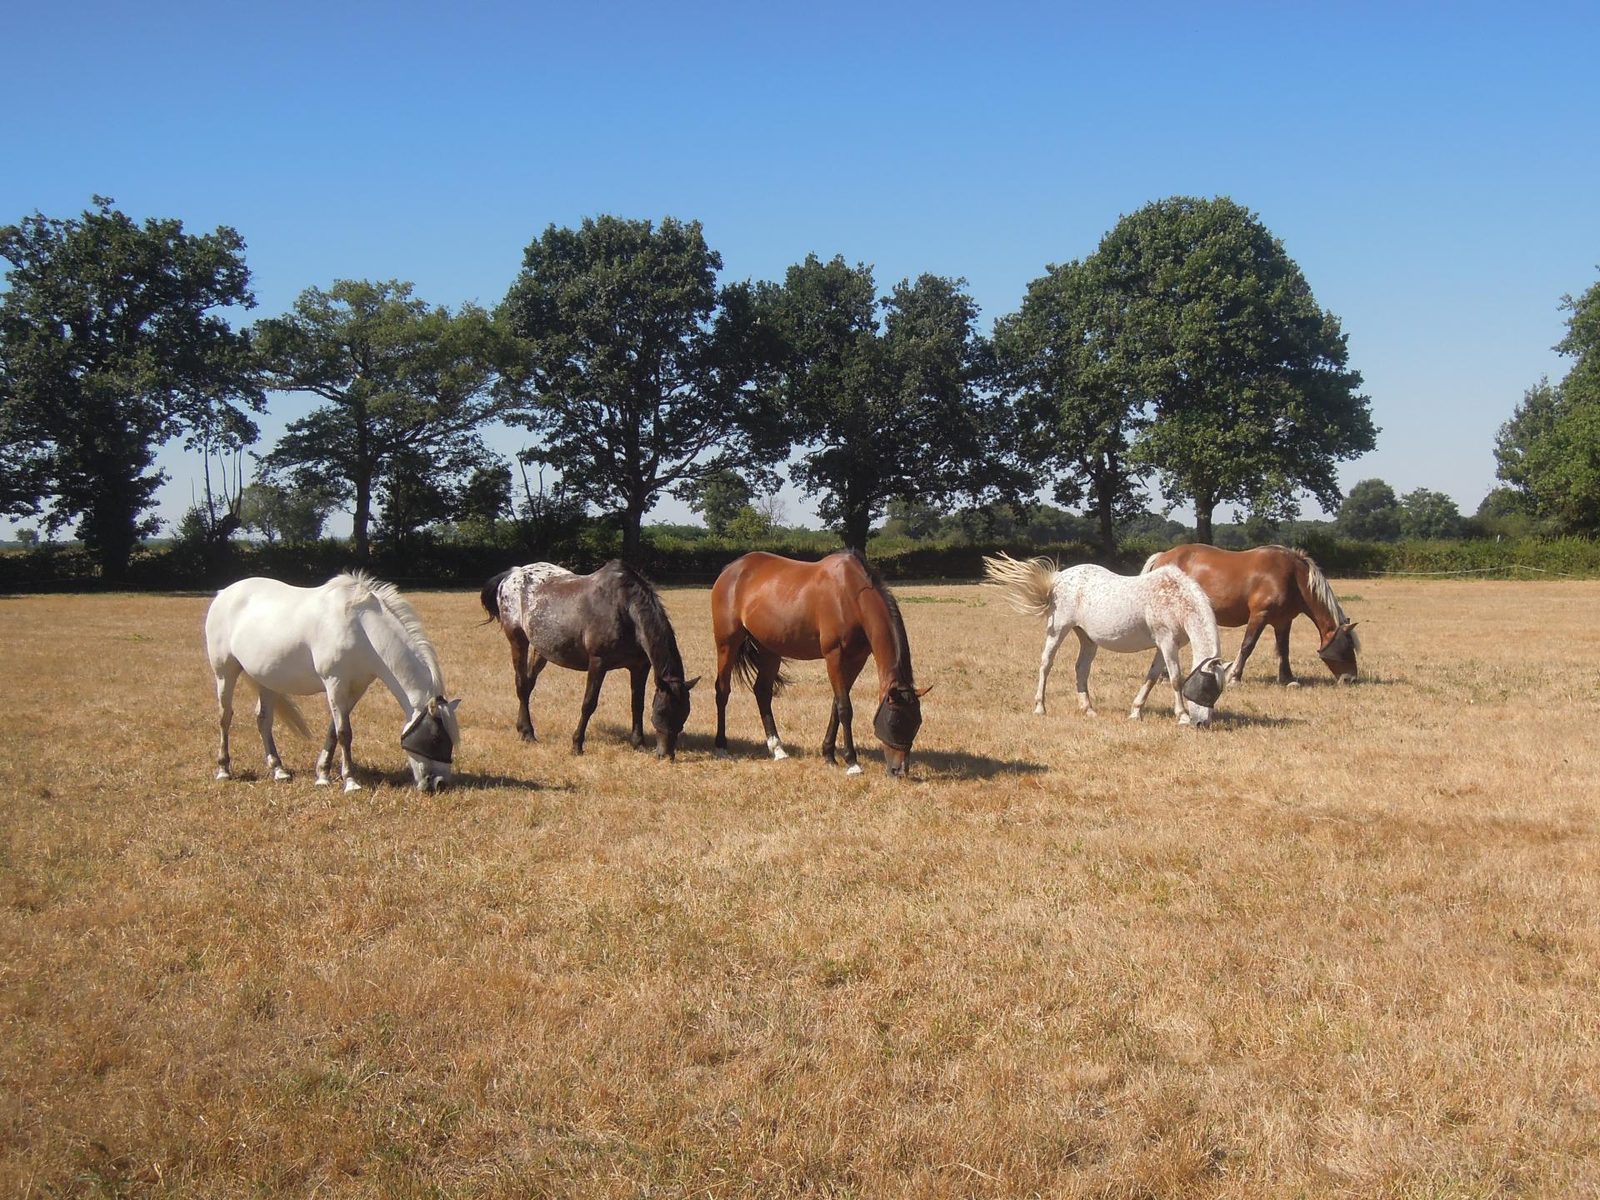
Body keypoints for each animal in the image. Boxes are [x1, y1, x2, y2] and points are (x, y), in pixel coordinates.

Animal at [205, 572, 462, 792]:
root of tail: (224, 593)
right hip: (224, 673)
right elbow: (344, 732)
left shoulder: (356, 688)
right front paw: (350, 782)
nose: (440, 783)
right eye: (436, 737)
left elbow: (333, 730)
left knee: (263, 720)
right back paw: (224, 770)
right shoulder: (334, 682)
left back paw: (278, 770)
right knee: (225, 717)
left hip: (267, 680)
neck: (362, 627)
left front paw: (323, 775)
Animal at [480, 560, 698, 759]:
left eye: (684, 714)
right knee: (521, 683)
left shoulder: (639, 667)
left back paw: (523, 730)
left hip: (542, 650)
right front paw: (576, 745)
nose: (666, 754)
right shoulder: (598, 663)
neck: (625, 609)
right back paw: (528, 733)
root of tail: (512, 574)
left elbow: (637, 704)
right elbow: (589, 704)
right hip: (518, 640)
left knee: (528, 686)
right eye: (661, 712)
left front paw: (639, 744)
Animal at [710, 549, 929, 777]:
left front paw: (828, 755)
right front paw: (852, 762)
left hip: (770, 649)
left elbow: (836, 705)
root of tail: (732, 568)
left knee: (762, 691)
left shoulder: (856, 660)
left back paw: (777, 749)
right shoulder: (834, 656)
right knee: (722, 690)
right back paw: (721, 746)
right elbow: (844, 708)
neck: (851, 596)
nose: (899, 770)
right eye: (894, 721)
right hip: (727, 643)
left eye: (917, 723)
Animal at [982, 553, 1233, 726]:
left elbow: (1152, 678)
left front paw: (1135, 712)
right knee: (1046, 664)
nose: (1202, 723)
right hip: (1058, 630)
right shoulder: (1167, 643)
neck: (1176, 598)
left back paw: (1088, 709)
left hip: (1087, 638)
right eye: (1207, 689)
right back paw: (1040, 708)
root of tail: (1059, 578)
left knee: (1081, 669)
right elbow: (1175, 679)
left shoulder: (1165, 646)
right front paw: (1182, 716)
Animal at [1141, 544, 1360, 684]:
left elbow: (1284, 649)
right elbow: (1247, 646)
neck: (1291, 577)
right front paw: (1234, 677)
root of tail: (1162, 557)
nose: (1351, 678)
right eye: (1347, 647)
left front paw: (1287, 678)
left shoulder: (1283, 621)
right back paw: (1164, 677)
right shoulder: (1259, 616)